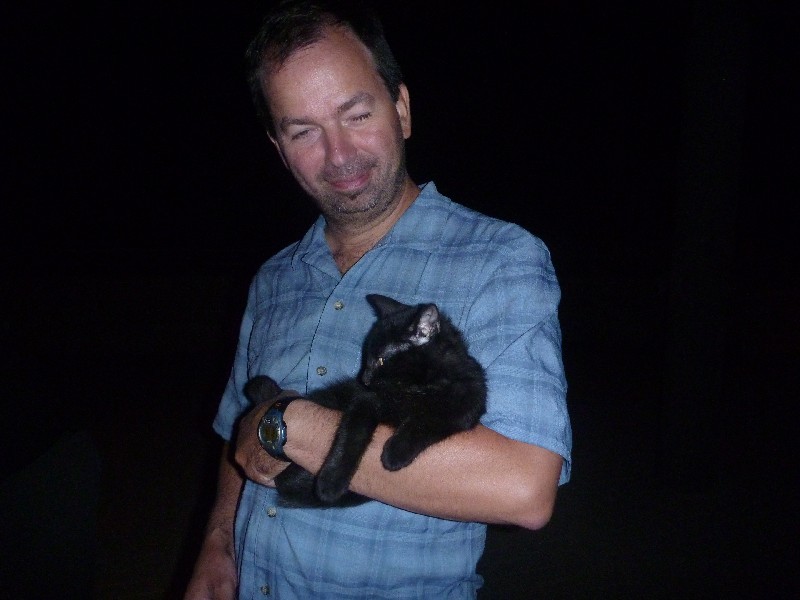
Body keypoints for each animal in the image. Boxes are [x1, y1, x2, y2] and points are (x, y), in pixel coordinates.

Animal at [244, 293, 487, 507]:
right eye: (366, 357)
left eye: (380, 360)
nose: (365, 379)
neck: (418, 386)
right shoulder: (364, 401)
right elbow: (351, 436)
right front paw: (330, 483)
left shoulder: (467, 404)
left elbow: (428, 420)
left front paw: (396, 452)